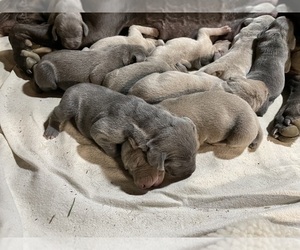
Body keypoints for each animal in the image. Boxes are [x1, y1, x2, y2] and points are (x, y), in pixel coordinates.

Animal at [44, 83, 199, 178]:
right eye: (176, 165)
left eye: (196, 152)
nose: (192, 172)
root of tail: (72, 86)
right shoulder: (110, 128)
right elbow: (101, 134)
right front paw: (117, 154)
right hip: (70, 102)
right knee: (57, 112)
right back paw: (51, 130)